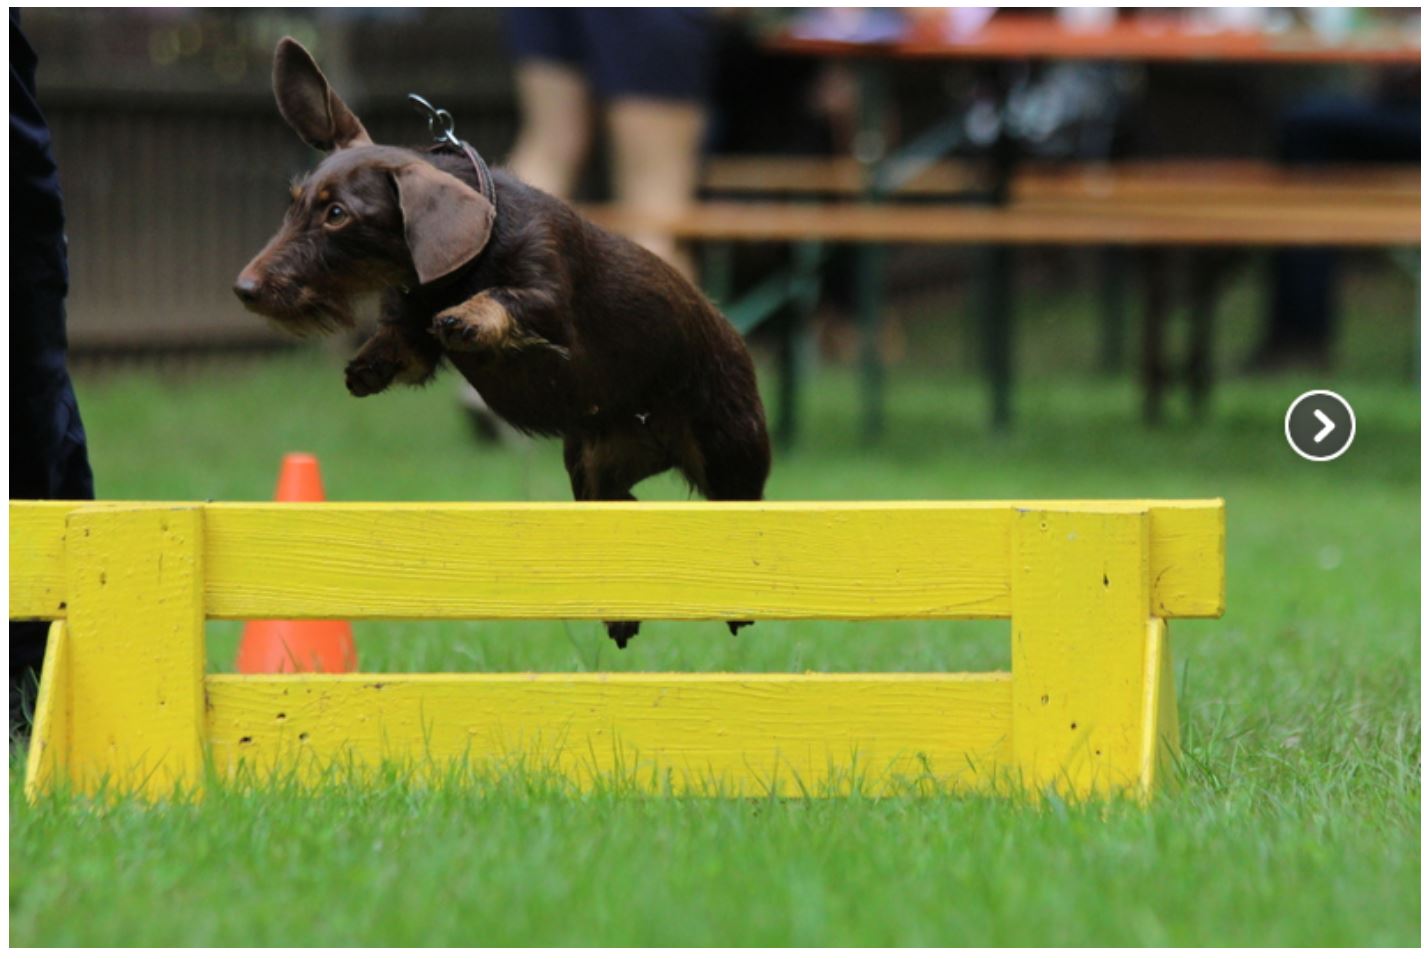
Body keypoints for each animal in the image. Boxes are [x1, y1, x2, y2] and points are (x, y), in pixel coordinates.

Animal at [235, 38, 771, 647]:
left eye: (336, 214)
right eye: (295, 203)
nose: (245, 288)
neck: (464, 259)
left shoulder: (548, 302)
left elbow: (504, 301)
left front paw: (467, 316)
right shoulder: (414, 333)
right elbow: (404, 342)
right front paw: (370, 363)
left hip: (730, 456)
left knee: (740, 516)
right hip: (593, 469)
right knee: (625, 512)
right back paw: (621, 614)